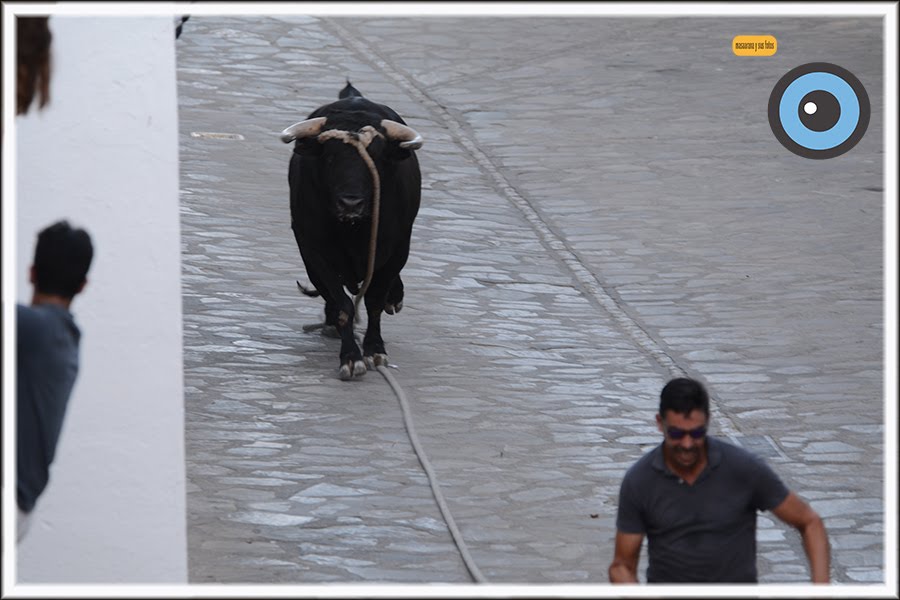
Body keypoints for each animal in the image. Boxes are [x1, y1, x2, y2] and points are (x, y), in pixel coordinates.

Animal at [281, 82, 423, 380]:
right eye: (330, 157)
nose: (350, 202)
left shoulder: (397, 248)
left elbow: (375, 301)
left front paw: (375, 350)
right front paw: (350, 357)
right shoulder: (314, 251)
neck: (354, 230)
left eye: (377, 157)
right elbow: (343, 305)